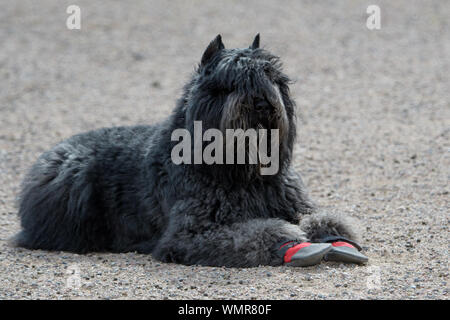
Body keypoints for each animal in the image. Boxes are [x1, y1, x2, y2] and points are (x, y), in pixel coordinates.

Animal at [14, 34, 368, 268]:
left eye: (273, 76)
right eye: (230, 82)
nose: (262, 103)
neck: (242, 175)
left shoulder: (293, 201)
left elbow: (321, 216)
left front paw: (334, 233)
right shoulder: (191, 235)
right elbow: (255, 233)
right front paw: (289, 239)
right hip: (71, 178)